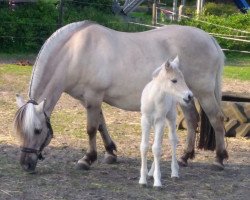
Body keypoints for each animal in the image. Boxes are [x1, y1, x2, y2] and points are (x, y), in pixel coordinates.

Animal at [14, 20, 229, 173]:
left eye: (37, 130)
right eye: (20, 131)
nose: (25, 164)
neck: (75, 52)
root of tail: (210, 39)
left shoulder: (94, 96)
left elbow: (91, 129)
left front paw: (87, 159)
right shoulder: (88, 100)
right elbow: (101, 125)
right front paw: (110, 153)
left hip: (203, 93)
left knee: (216, 119)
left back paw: (219, 160)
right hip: (184, 96)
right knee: (192, 120)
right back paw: (185, 157)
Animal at [139, 55, 193, 187]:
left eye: (183, 78)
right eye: (174, 80)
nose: (189, 96)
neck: (154, 99)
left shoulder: (160, 120)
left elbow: (157, 149)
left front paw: (157, 182)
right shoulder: (145, 120)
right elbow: (144, 147)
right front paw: (143, 179)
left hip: (170, 117)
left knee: (172, 140)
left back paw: (174, 173)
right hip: (155, 123)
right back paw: (150, 173)